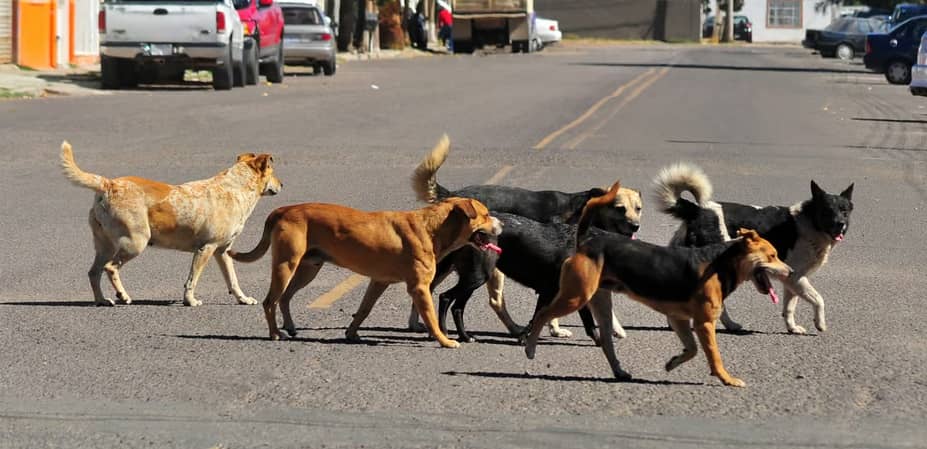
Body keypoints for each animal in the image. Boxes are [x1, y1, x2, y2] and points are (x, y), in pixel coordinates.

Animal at [59, 142, 280, 306]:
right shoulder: (205, 249)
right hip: (135, 242)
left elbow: (233, 280)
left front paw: (244, 299)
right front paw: (190, 301)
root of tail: (109, 184)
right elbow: (192, 280)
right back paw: (123, 296)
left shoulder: (222, 252)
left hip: (105, 245)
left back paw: (102, 300)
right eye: (272, 171)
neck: (234, 188)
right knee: (110, 268)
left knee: (93, 272)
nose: (282, 184)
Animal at [236, 197, 504, 346]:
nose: (502, 223)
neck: (432, 229)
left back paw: (290, 327)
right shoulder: (419, 288)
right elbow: (430, 318)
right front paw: (445, 341)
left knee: (285, 298)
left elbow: (364, 310)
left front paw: (351, 333)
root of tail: (283, 210)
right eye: (485, 214)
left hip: (308, 269)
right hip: (286, 265)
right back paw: (274, 333)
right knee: (270, 301)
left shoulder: (379, 281)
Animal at [524, 181, 792, 384]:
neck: (721, 263)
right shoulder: (704, 323)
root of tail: (586, 240)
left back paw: (619, 371)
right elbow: (714, 357)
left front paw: (673, 363)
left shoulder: (679, 319)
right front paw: (728, 379)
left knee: (607, 343)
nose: (790, 271)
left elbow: (692, 350)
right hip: (577, 296)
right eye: (772, 255)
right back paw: (529, 347)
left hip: (600, 301)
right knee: (542, 314)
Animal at [652, 163, 856, 334]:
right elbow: (818, 299)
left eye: (844, 211)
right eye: (827, 211)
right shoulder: (796, 277)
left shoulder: (791, 279)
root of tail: (697, 210)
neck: (811, 222)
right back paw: (726, 324)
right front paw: (820, 323)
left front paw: (792, 328)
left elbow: (789, 307)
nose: (840, 224)